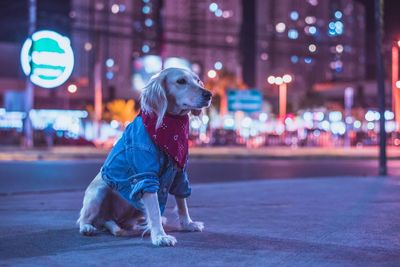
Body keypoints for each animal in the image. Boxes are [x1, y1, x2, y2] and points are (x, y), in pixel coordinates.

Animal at [76, 68, 212, 248]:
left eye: (197, 80)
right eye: (181, 81)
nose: (209, 94)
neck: (170, 125)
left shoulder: (180, 172)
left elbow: (182, 202)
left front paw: (187, 224)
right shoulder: (146, 175)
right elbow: (154, 209)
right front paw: (160, 236)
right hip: (99, 192)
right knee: (84, 219)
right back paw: (87, 227)